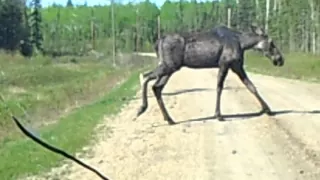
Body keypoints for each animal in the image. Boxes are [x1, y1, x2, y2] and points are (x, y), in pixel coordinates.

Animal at [136, 24, 284, 125]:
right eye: (272, 43)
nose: (280, 59)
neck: (242, 44)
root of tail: (157, 42)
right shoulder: (225, 64)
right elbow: (219, 87)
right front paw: (218, 115)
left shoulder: (237, 66)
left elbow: (251, 86)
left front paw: (268, 109)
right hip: (169, 65)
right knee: (146, 77)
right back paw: (142, 108)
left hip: (170, 67)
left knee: (156, 86)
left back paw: (169, 118)